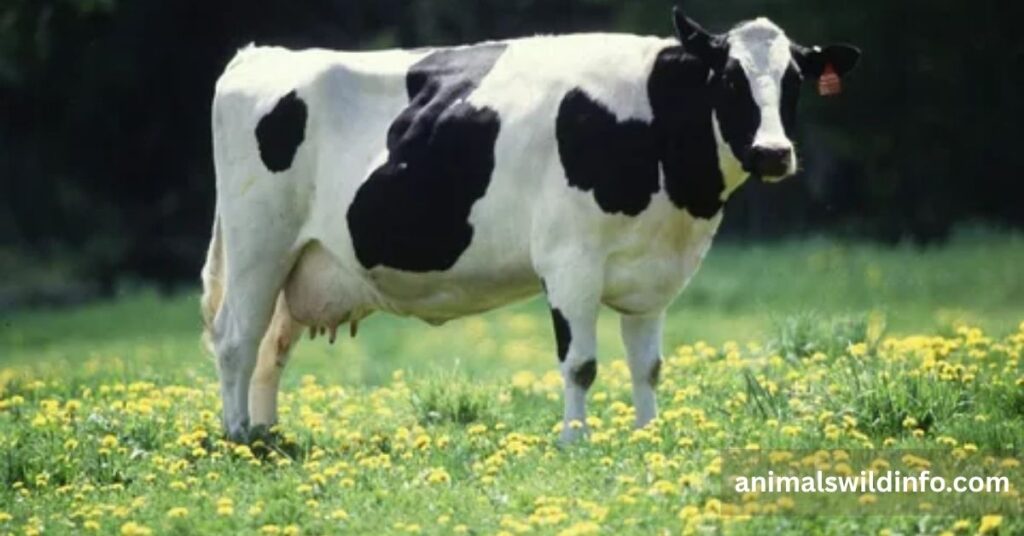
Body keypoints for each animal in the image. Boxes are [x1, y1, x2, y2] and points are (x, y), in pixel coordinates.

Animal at [201, 8, 860, 443]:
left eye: (794, 81)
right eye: (728, 78)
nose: (773, 153)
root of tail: (260, 54)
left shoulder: (653, 275)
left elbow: (647, 365)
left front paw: (649, 436)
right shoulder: (570, 262)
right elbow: (581, 363)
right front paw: (575, 442)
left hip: (301, 261)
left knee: (271, 346)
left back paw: (269, 436)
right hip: (258, 242)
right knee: (236, 339)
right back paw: (238, 437)